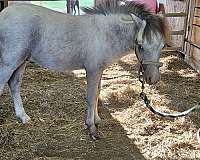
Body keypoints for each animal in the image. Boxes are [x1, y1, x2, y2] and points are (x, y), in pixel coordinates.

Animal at [0, 2, 167, 140]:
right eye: (140, 45)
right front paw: (91, 128)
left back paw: (23, 117)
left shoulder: (99, 71)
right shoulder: (92, 70)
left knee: (14, 84)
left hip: (22, 62)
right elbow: (91, 97)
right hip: (10, 62)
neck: (105, 34)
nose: (153, 79)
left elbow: (97, 94)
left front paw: (97, 120)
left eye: (162, 46)